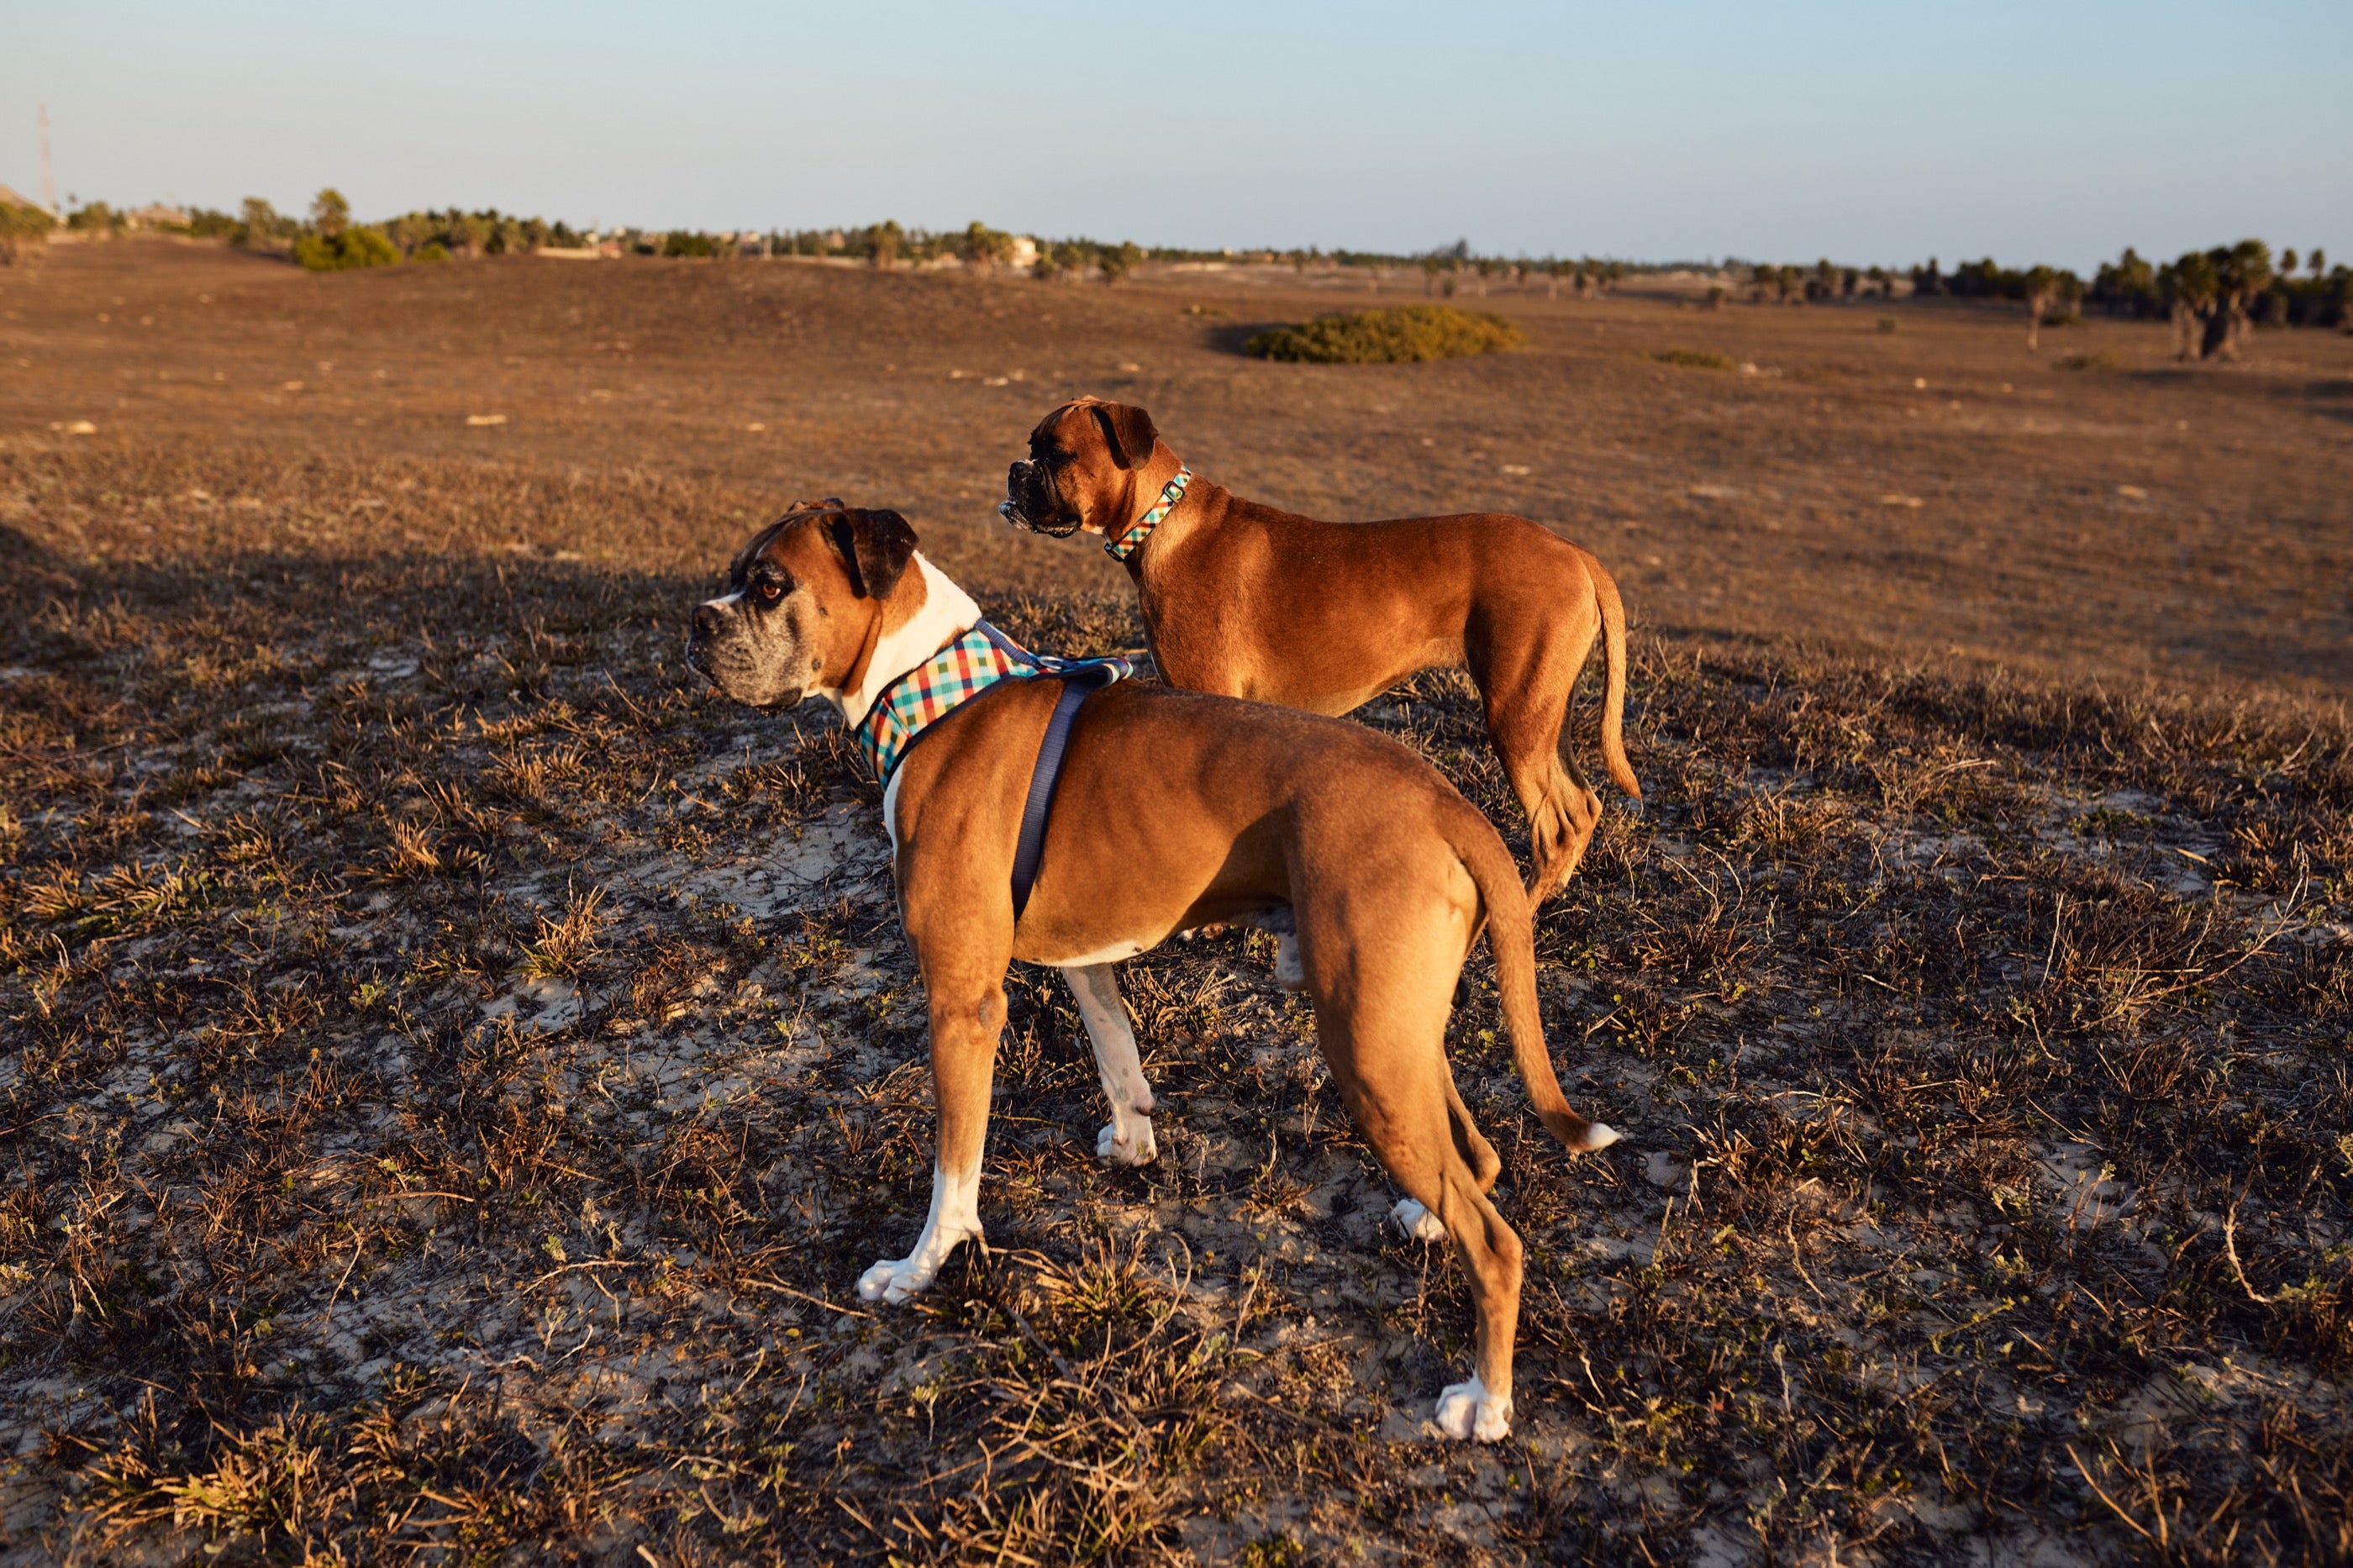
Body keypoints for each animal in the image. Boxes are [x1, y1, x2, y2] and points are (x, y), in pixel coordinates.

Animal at [687, 501, 1628, 1440]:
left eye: (769, 585)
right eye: (736, 576)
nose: (699, 623)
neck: (935, 693)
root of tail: (1446, 804)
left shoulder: (962, 1003)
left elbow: (954, 1168)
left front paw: (919, 1270)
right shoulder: (1087, 957)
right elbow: (1117, 1056)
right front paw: (1133, 1143)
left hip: (1367, 1047)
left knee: (1496, 1244)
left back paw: (1485, 1401)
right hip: (1393, 1031)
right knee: (1478, 1156)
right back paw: (1424, 1219)